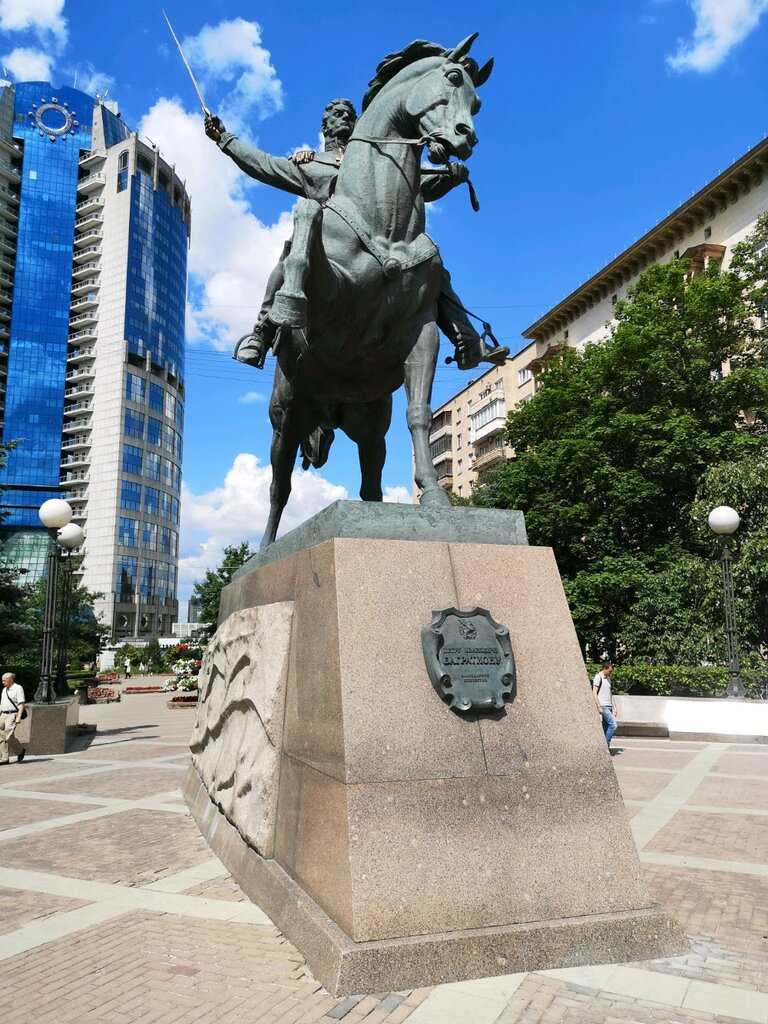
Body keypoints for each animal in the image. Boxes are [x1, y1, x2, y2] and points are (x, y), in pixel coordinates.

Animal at [264, 34, 493, 544]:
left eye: (478, 102)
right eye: (452, 78)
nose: (466, 139)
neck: (383, 219)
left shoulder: (421, 333)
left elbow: (420, 414)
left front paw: (434, 495)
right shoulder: (329, 300)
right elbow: (307, 212)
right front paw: (286, 306)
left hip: (369, 427)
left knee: (370, 487)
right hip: (288, 418)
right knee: (279, 486)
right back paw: (261, 550)